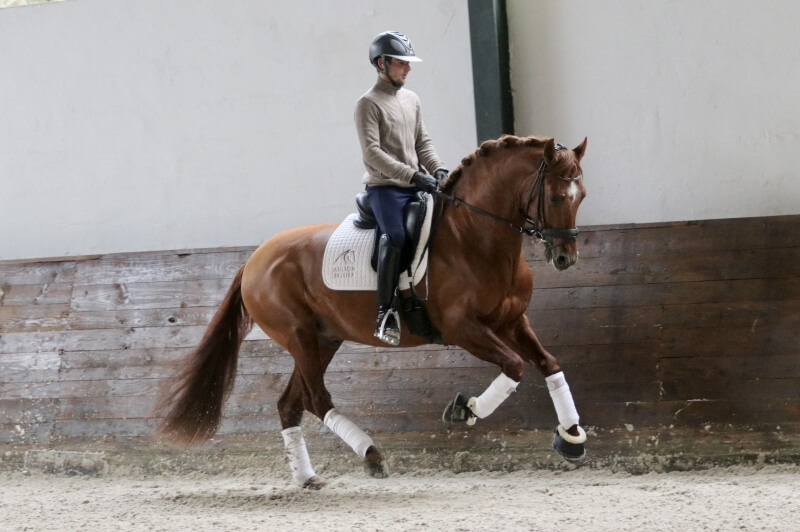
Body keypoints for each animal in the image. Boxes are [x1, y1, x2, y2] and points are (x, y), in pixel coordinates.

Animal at [156, 135, 589, 489]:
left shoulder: (513, 321)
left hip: (322, 339)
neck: (475, 236)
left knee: (290, 403)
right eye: (555, 197)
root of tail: (254, 259)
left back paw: (307, 478)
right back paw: (371, 454)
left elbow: (549, 365)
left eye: (581, 195)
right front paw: (463, 409)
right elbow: (514, 366)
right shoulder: (462, 328)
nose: (565, 258)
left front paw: (571, 438)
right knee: (316, 399)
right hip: (299, 337)